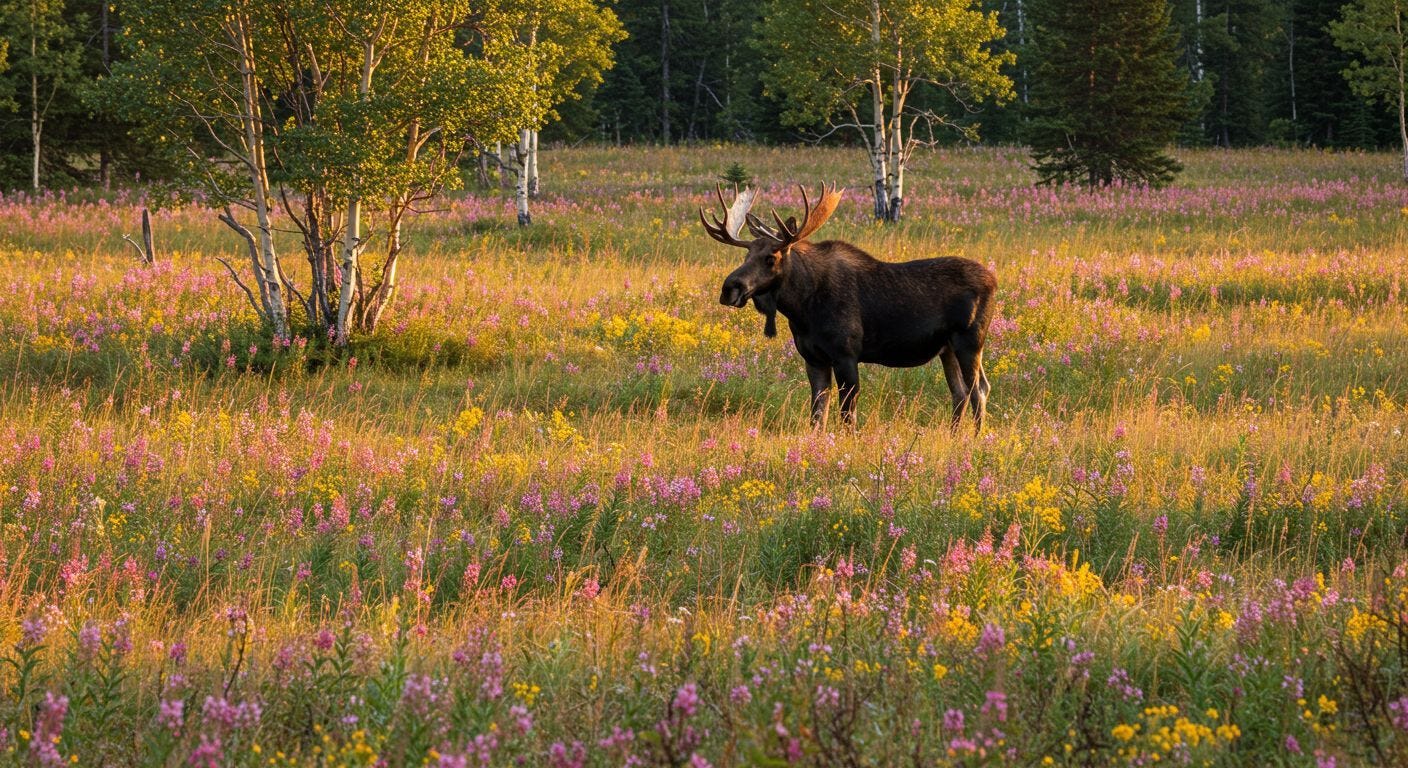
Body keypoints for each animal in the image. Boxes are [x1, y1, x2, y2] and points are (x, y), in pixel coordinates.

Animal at [701, 183, 997, 432]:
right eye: (746, 255)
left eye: (770, 258)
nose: (729, 288)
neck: (802, 309)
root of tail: (994, 281)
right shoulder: (813, 358)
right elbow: (817, 416)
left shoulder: (846, 354)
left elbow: (846, 417)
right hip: (947, 348)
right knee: (959, 392)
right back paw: (954, 435)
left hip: (970, 341)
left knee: (979, 388)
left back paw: (975, 438)